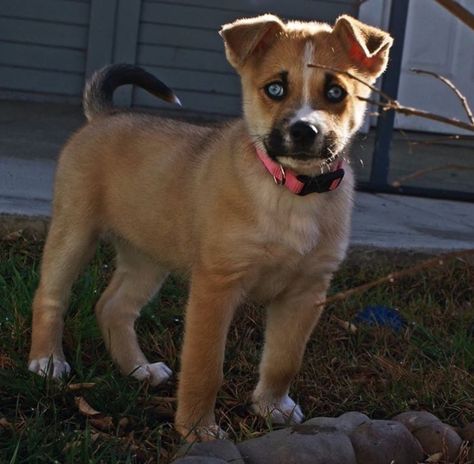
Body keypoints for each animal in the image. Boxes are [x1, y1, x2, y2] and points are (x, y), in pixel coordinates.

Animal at [28, 14, 392, 440]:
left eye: (335, 92)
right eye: (274, 88)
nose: (304, 131)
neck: (290, 193)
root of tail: (106, 116)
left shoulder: (306, 293)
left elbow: (284, 361)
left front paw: (273, 407)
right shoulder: (216, 286)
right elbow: (205, 368)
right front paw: (198, 431)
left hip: (147, 256)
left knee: (113, 307)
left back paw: (139, 369)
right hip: (74, 231)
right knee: (51, 296)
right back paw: (47, 361)